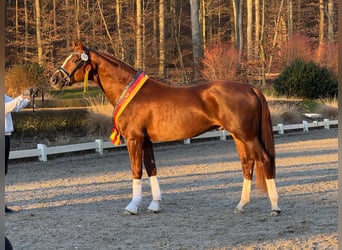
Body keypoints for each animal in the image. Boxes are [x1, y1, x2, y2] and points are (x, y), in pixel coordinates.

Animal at [50, 40, 280, 215]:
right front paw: (154, 204)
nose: (54, 78)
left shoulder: (134, 139)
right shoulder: (146, 140)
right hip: (239, 137)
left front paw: (132, 206)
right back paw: (241, 205)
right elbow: (151, 168)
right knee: (247, 164)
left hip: (247, 136)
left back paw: (275, 206)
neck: (129, 92)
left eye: (75, 60)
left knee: (265, 160)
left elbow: (136, 170)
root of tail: (250, 87)